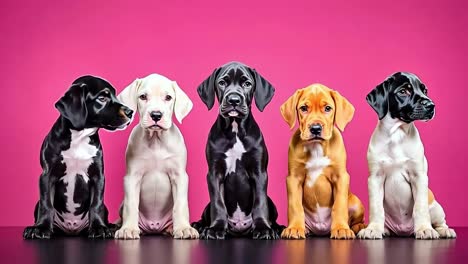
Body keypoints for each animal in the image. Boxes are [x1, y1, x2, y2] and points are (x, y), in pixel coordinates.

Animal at [23, 75, 133, 239]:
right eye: (102, 98)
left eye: (115, 95)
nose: (130, 111)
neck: (79, 137)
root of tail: (72, 229)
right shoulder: (47, 175)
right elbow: (46, 204)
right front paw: (41, 228)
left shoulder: (98, 176)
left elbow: (96, 204)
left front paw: (99, 227)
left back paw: (111, 227)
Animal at [115, 73, 199, 239]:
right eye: (143, 97)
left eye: (168, 97)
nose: (156, 115)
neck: (155, 141)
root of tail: (154, 227)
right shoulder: (132, 177)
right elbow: (131, 204)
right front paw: (128, 229)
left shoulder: (179, 176)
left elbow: (180, 204)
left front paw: (184, 228)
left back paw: (172, 228)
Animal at [192, 61, 284, 239]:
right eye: (222, 83)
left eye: (247, 84)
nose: (234, 99)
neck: (235, 131)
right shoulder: (214, 173)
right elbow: (218, 203)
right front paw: (216, 228)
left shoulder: (259, 172)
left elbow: (260, 202)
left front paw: (263, 228)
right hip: (207, 207)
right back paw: (199, 226)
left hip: (272, 204)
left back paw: (277, 228)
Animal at [278, 84, 366, 239]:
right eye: (303, 108)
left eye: (328, 108)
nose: (315, 129)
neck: (316, 147)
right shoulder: (293, 178)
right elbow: (295, 206)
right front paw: (294, 228)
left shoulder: (341, 177)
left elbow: (339, 205)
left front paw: (341, 228)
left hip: (356, 202)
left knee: (356, 219)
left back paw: (358, 226)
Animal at [358, 71, 458, 239]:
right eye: (403, 91)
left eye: (424, 91)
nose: (431, 105)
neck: (397, 135)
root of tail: (402, 230)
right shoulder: (375, 178)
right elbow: (376, 208)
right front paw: (373, 228)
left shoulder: (419, 177)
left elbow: (420, 207)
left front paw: (424, 229)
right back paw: (384, 230)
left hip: (436, 207)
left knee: (439, 221)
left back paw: (444, 230)